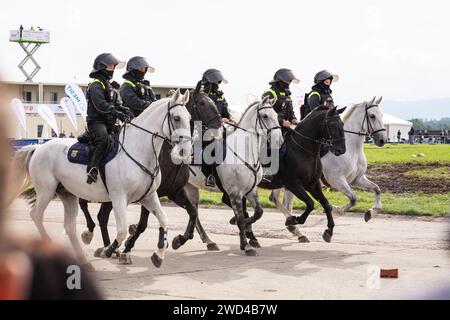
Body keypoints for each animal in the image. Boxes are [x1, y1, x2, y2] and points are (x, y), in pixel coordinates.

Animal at [12, 89, 192, 268]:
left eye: (189, 117)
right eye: (176, 118)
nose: (186, 151)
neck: (139, 151)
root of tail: (38, 147)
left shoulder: (148, 196)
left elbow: (163, 220)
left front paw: (159, 254)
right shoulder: (119, 198)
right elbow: (122, 231)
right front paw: (110, 250)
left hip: (68, 195)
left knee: (69, 226)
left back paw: (83, 259)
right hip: (46, 192)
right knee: (36, 215)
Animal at [188, 96, 284, 256]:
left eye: (276, 116)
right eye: (265, 116)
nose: (279, 141)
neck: (244, 153)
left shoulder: (251, 190)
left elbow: (258, 212)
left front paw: (247, 236)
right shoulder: (234, 193)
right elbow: (241, 218)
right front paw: (246, 245)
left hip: (190, 186)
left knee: (193, 213)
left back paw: (209, 241)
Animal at [270, 96, 386, 241]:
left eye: (381, 115)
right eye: (372, 116)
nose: (382, 140)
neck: (352, 148)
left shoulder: (357, 179)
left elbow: (377, 189)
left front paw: (371, 213)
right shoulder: (337, 180)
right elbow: (353, 198)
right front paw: (336, 210)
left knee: (278, 200)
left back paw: (296, 229)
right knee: (278, 201)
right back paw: (293, 226)